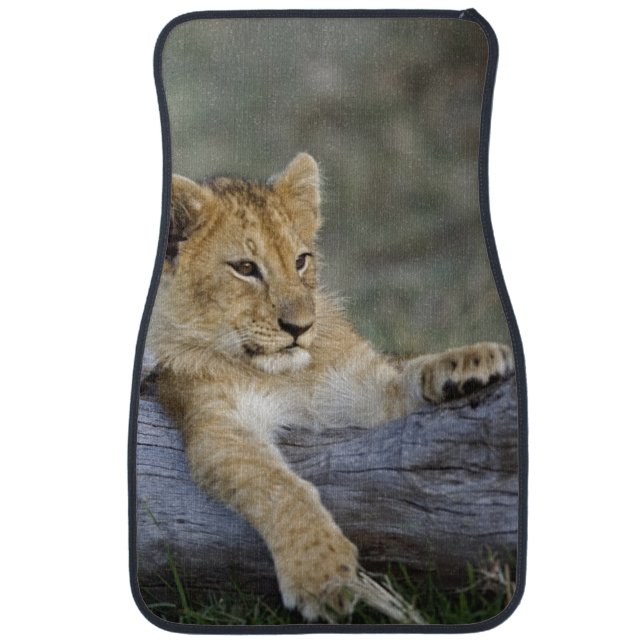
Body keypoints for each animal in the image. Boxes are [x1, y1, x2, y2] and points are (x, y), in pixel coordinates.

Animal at [146, 153, 514, 622]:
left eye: (301, 261)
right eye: (245, 268)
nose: (300, 327)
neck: (281, 373)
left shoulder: (350, 389)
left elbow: (402, 376)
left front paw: (471, 362)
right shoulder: (216, 422)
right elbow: (279, 487)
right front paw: (323, 575)